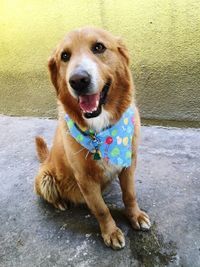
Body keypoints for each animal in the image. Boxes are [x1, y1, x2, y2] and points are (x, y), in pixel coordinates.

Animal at [34, 26, 151, 250]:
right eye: (65, 56)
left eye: (98, 47)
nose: (78, 80)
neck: (101, 132)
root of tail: (46, 160)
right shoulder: (85, 179)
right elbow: (101, 209)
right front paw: (111, 232)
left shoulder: (129, 163)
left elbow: (129, 194)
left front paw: (135, 216)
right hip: (45, 178)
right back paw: (60, 202)